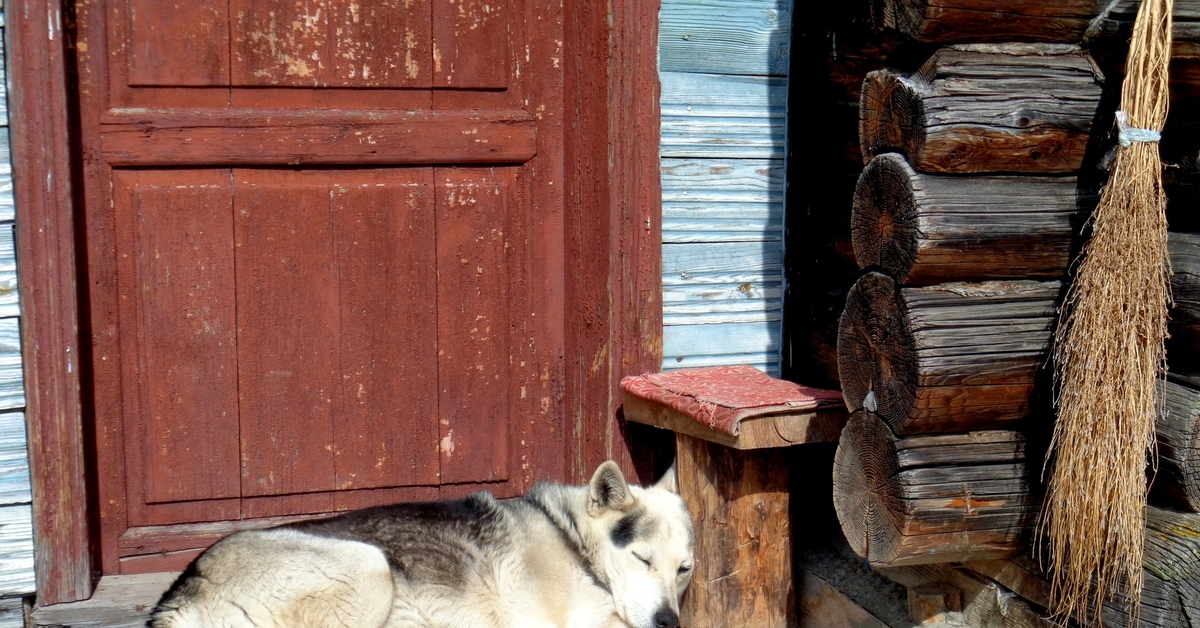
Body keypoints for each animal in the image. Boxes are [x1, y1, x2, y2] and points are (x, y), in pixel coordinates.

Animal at [150, 461, 696, 628]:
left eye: (684, 570)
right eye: (641, 558)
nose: (668, 622)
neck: (573, 540)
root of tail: (184, 591)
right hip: (370, 567)